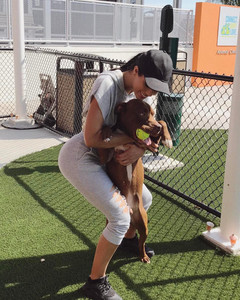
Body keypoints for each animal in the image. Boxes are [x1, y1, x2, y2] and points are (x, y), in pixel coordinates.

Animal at [99, 99, 172, 262]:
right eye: (141, 113)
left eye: (153, 113)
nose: (157, 128)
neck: (126, 136)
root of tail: (131, 212)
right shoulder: (104, 157)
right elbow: (107, 128)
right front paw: (106, 133)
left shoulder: (153, 144)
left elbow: (163, 120)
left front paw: (167, 139)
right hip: (112, 223)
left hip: (144, 225)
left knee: (141, 242)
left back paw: (143, 256)